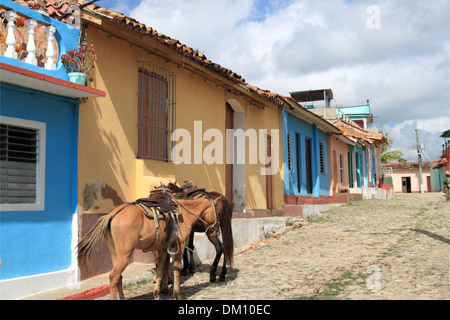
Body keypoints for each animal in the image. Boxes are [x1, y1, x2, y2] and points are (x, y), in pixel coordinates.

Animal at [77, 188, 230, 300]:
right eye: (218, 212)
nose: (216, 230)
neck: (183, 214)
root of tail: (111, 215)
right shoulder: (179, 247)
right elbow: (176, 271)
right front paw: (177, 295)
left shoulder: (163, 249)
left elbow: (160, 270)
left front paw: (157, 294)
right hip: (125, 255)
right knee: (114, 276)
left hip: (115, 254)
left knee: (118, 277)